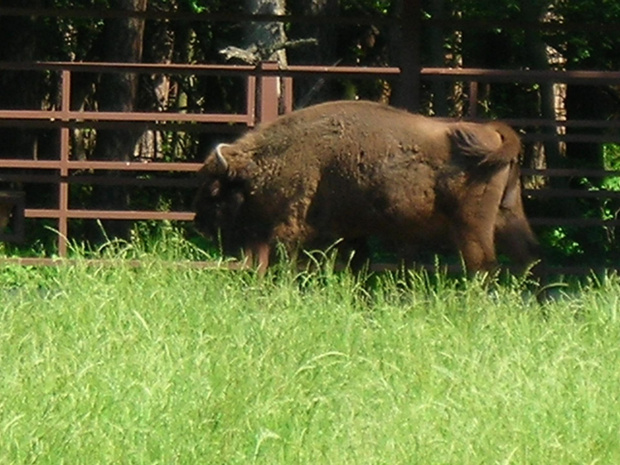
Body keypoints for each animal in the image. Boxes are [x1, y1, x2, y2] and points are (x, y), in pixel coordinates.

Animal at [194, 98, 536, 272]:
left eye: (214, 190)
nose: (200, 225)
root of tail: (494, 133)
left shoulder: (290, 227)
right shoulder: (352, 231)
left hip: (471, 225)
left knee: (483, 264)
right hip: (508, 215)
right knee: (528, 254)